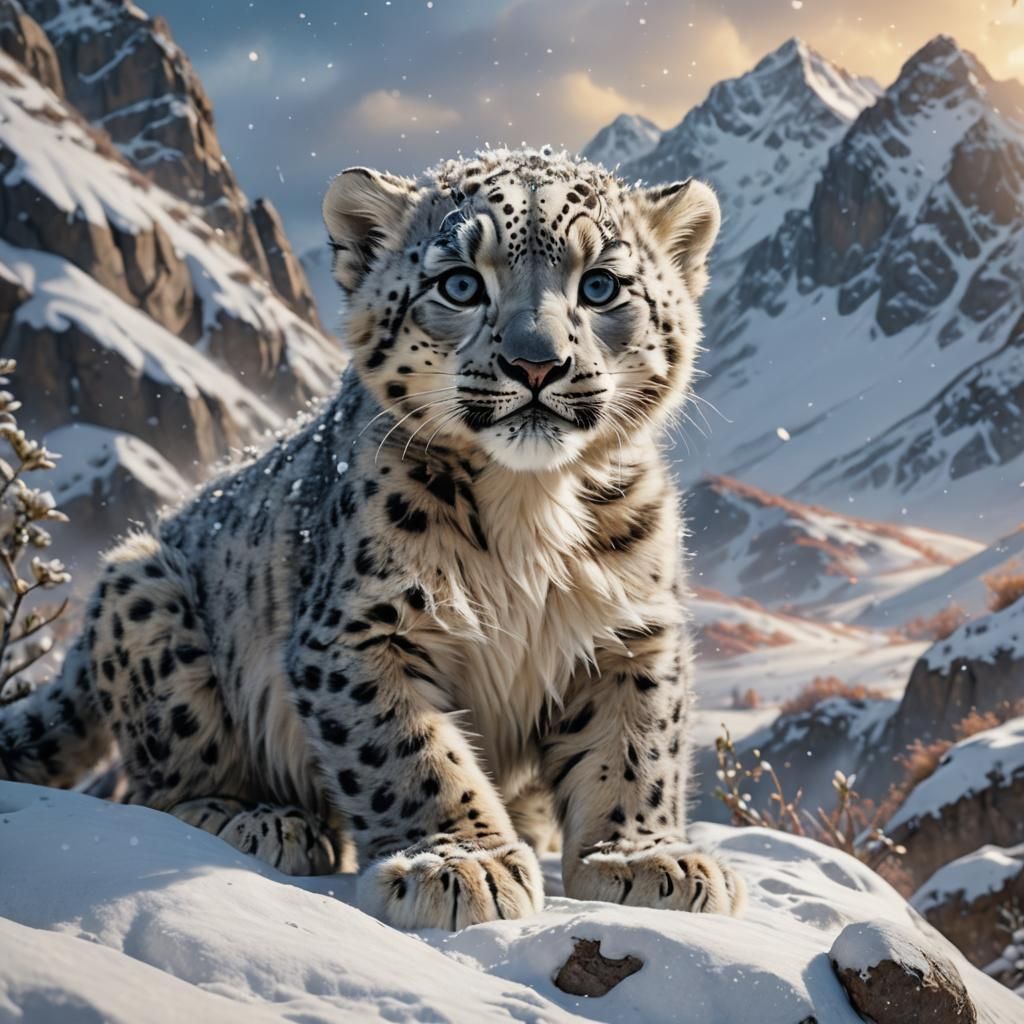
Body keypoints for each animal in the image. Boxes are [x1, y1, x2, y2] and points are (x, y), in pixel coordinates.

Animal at [0, 147, 745, 929]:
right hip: (146, 598)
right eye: (459, 282)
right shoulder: (360, 631)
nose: (536, 363)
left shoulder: (631, 631)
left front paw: (641, 858)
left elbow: (635, 749)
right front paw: (459, 863)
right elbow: (411, 753)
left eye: (600, 285)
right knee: (160, 788)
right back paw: (257, 819)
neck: (531, 507)